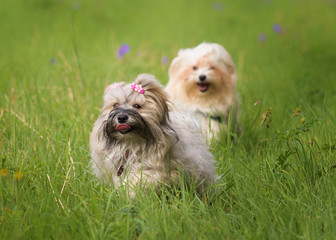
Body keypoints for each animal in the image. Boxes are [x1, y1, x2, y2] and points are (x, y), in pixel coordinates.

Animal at [89, 74, 217, 196]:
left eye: (137, 106)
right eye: (115, 105)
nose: (121, 117)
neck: (131, 143)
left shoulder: (163, 169)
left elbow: (141, 177)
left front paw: (129, 190)